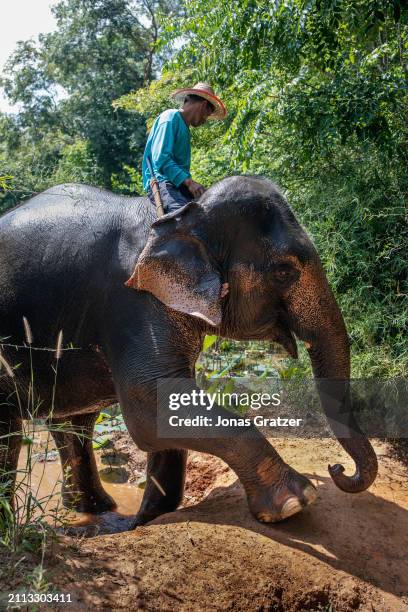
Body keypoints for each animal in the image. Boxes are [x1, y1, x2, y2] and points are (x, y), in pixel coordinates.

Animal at [0, 173, 378, 524]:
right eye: (284, 271)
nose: (337, 468)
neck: (183, 215)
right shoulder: (133, 302)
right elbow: (148, 403)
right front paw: (295, 502)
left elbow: (165, 412)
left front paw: (148, 520)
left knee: (72, 423)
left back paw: (96, 510)